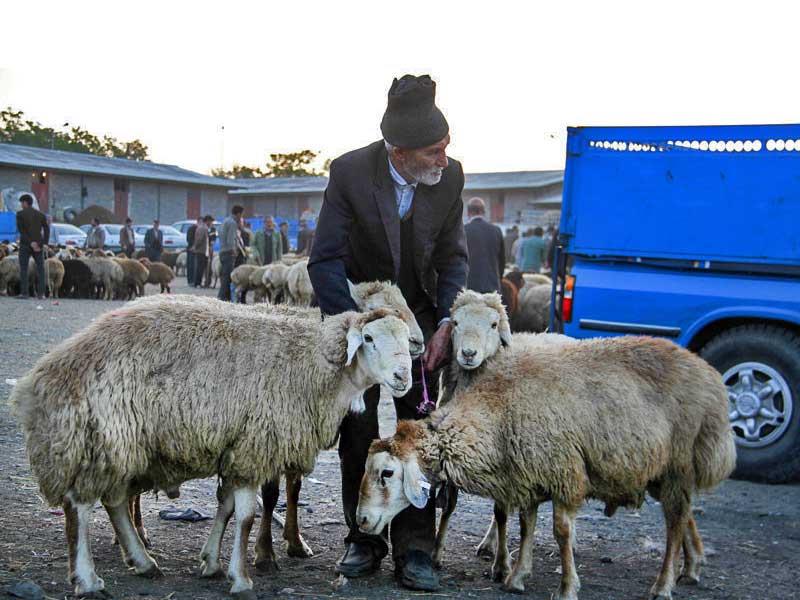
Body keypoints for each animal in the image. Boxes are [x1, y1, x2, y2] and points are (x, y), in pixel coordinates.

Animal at [12, 298, 416, 596]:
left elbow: (226, 508)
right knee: (80, 506)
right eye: (368, 339)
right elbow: (247, 516)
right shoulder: (254, 445)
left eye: (406, 341)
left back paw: (143, 562)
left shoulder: (237, 447)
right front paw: (241, 578)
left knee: (113, 502)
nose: (403, 377)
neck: (311, 360)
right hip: (96, 439)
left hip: (122, 447)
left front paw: (210, 562)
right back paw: (88, 579)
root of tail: (41, 379)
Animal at [360, 290, 736, 600]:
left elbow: (560, 531)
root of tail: (709, 375)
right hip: (656, 467)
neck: (499, 403)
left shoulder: (562, 471)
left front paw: (566, 587)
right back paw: (692, 565)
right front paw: (516, 576)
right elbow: (525, 524)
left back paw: (663, 584)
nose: (361, 520)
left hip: (679, 463)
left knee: (675, 522)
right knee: (685, 515)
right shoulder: (528, 472)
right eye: (456, 324)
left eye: (386, 474)